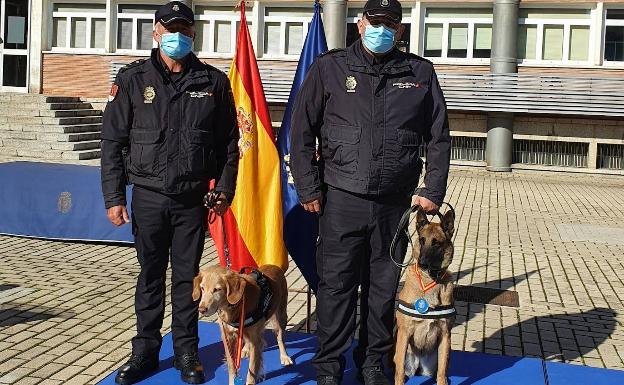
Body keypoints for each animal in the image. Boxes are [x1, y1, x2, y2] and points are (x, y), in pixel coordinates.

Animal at [392, 207, 456, 384]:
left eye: (436, 243)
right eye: (421, 240)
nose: (422, 263)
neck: (429, 279)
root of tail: (419, 366)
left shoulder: (446, 334)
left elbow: (442, 372)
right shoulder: (404, 332)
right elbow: (399, 372)